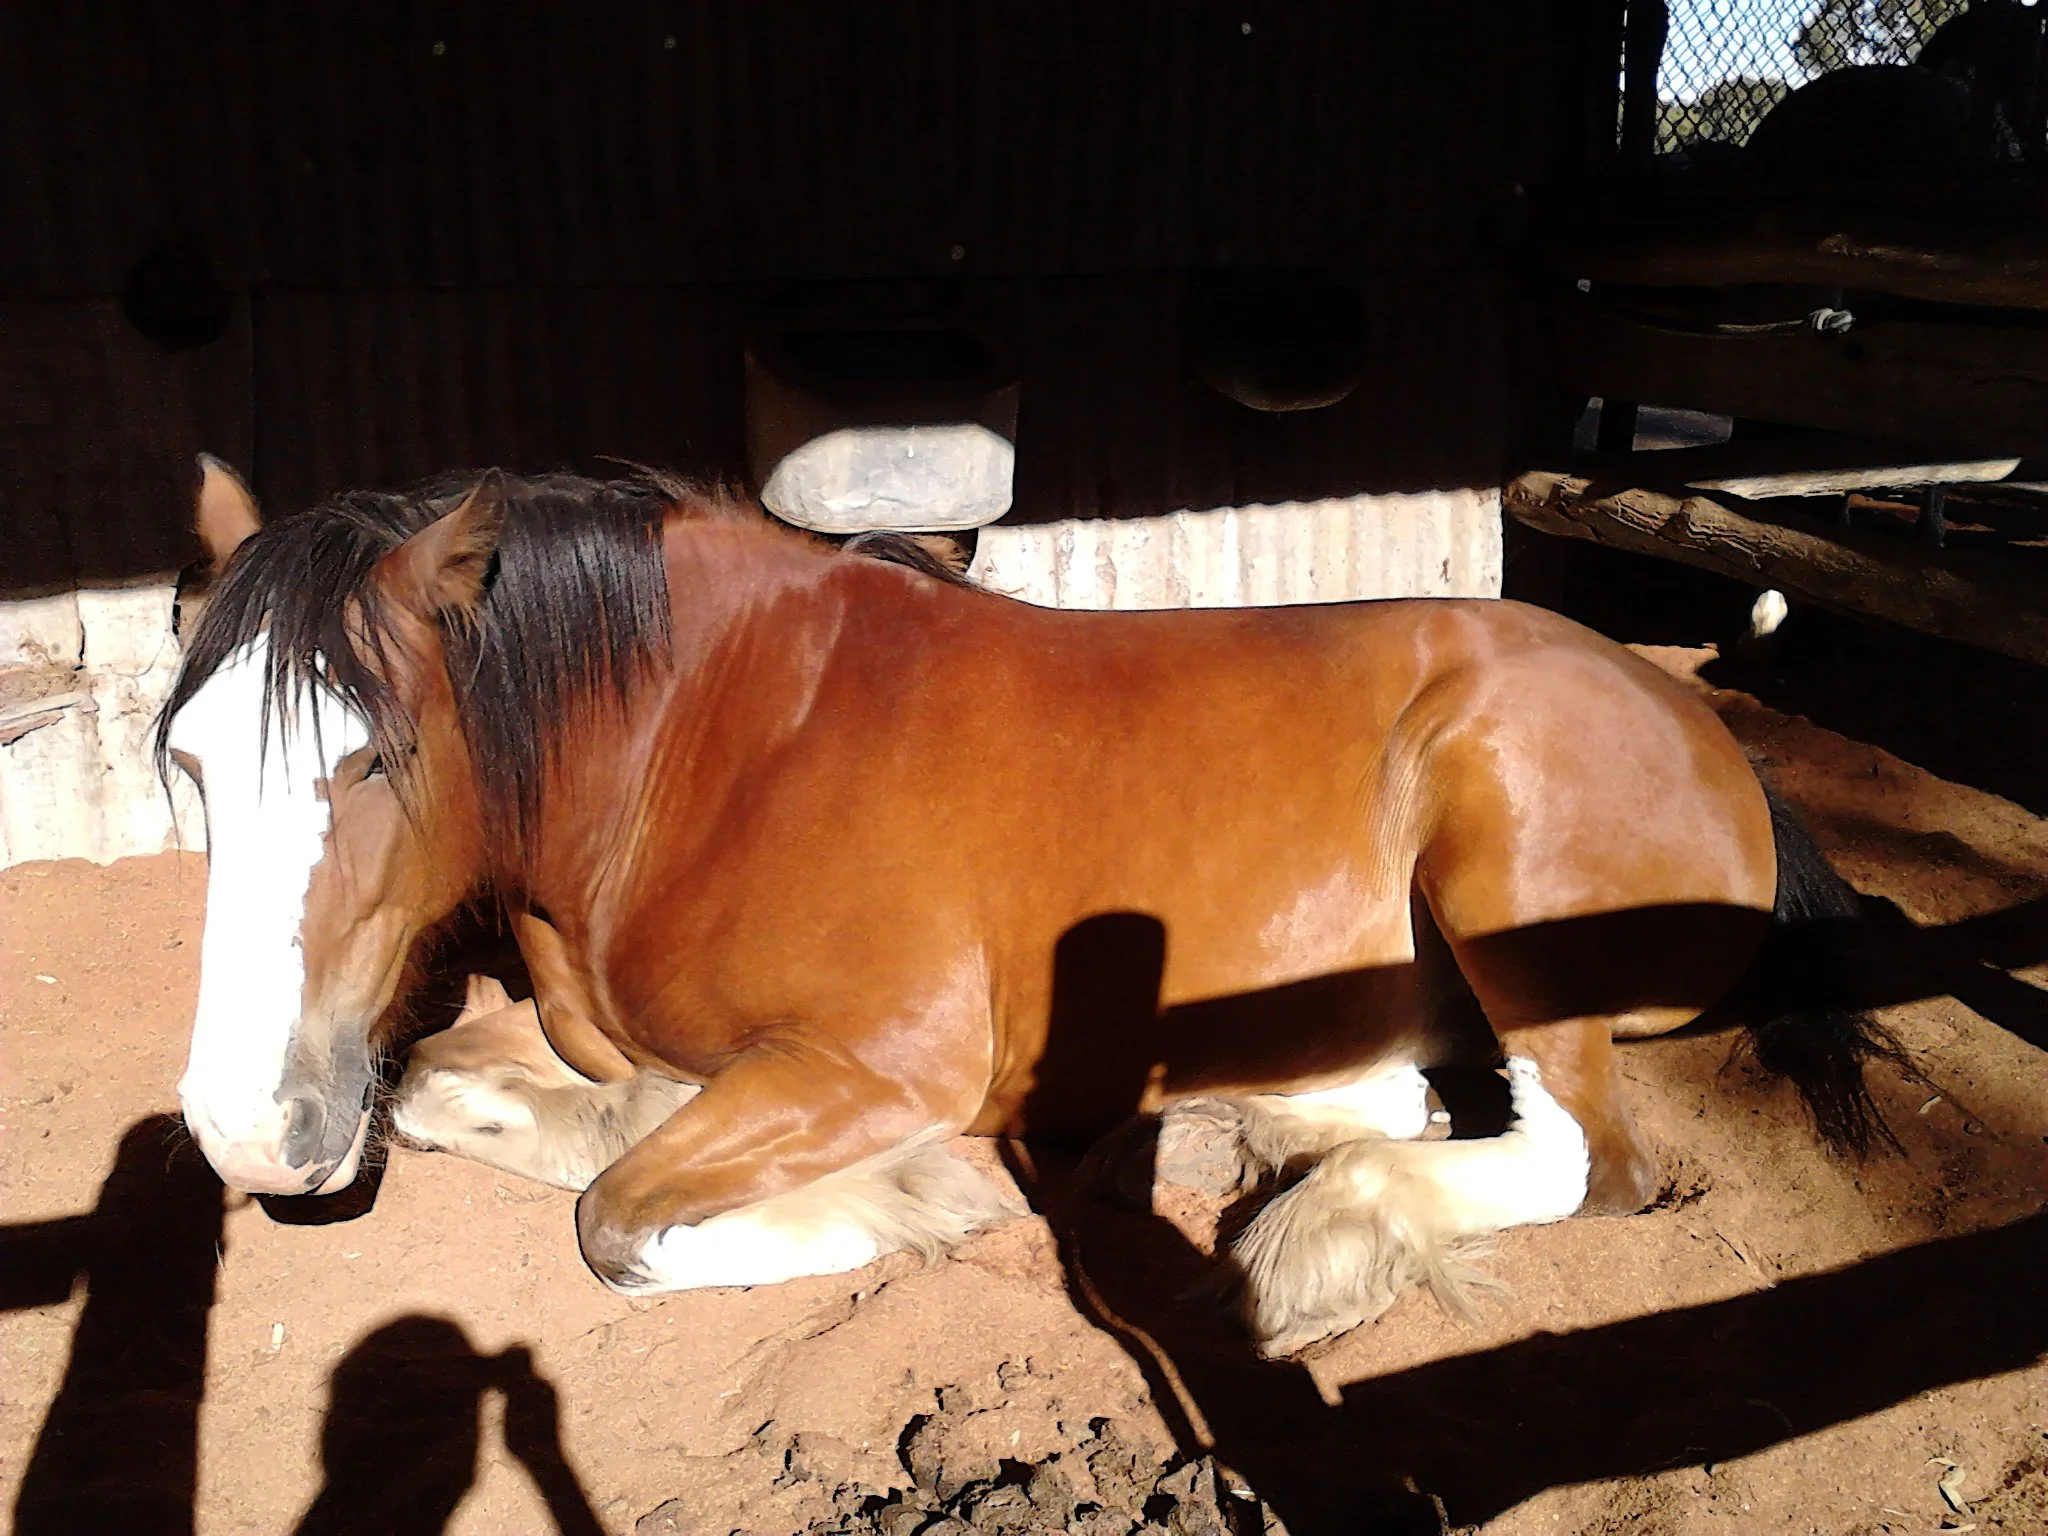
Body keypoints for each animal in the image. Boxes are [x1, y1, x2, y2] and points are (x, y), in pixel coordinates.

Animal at [158, 460, 1899, 1355]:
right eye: (184, 759)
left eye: (373, 754)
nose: (253, 1133)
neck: (712, 742)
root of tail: (1704, 729)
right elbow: (457, 1087)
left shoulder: (881, 1061)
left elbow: (620, 1223)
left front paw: (916, 1199)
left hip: (1510, 876)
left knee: (1585, 1159)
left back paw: (1315, 1243)